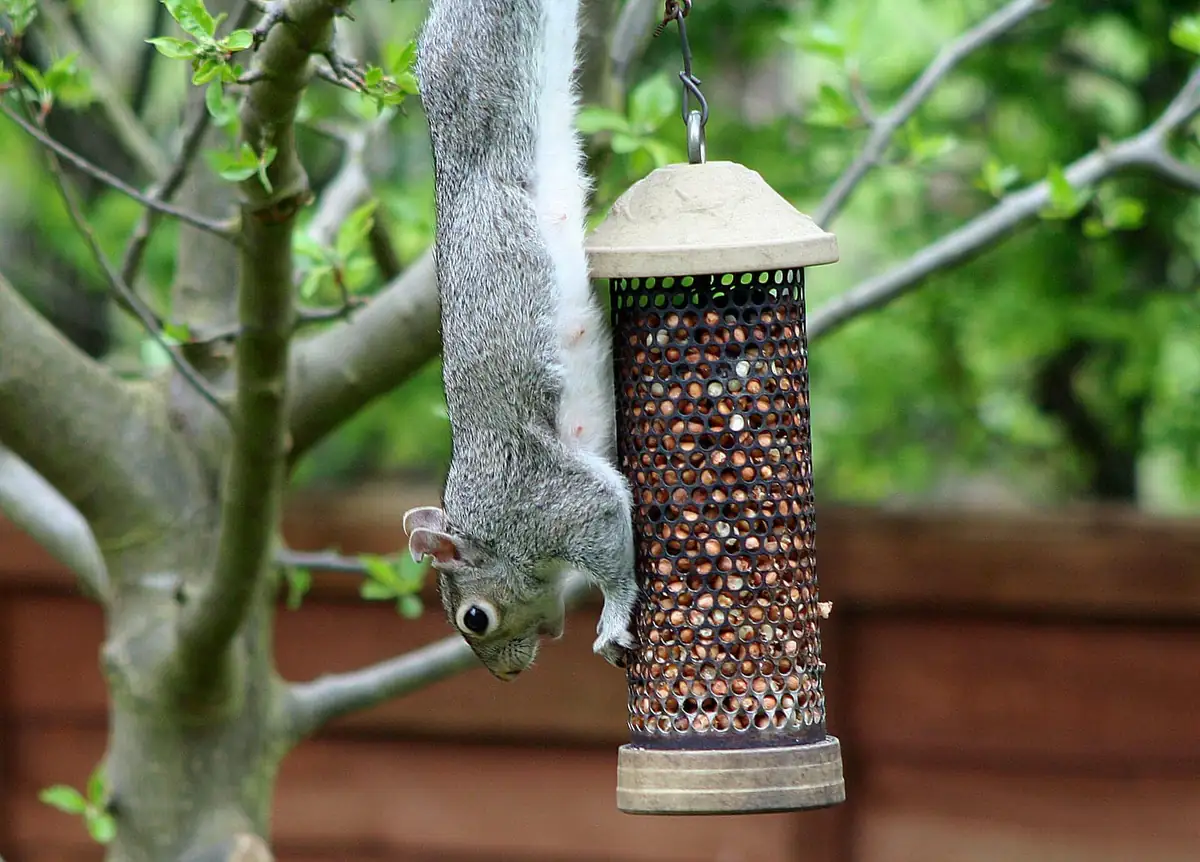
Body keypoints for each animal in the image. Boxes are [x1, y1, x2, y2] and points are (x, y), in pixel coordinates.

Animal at [405, 0, 638, 681]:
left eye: (475, 618)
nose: (509, 674)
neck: (490, 532)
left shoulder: (543, 506)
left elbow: (606, 526)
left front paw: (614, 617)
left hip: (485, 66)